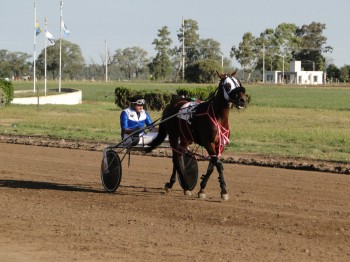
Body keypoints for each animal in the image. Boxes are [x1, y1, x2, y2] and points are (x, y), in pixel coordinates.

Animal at [146, 70, 247, 200]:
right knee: (176, 157)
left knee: (178, 155)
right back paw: (183, 185)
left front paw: (202, 188)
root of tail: (171, 104)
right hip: (173, 135)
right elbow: (218, 164)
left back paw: (176, 184)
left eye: (239, 82)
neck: (218, 117)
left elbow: (212, 165)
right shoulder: (208, 142)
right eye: (227, 85)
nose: (242, 100)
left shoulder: (220, 145)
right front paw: (224, 191)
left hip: (186, 138)